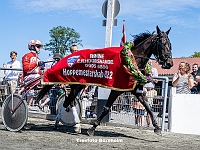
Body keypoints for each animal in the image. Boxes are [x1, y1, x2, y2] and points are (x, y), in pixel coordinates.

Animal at [36, 25, 173, 136]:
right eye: (162, 43)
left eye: (170, 44)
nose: (169, 63)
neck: (131, 60)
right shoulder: (117, 89)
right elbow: (106, 108)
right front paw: (92, 128)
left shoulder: (135, 90)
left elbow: (148, 107)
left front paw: (157, 128)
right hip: (76, 84)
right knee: (68, 102)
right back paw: (65, 123)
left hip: (79, 85)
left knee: (69, 102)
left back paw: (69, 124)